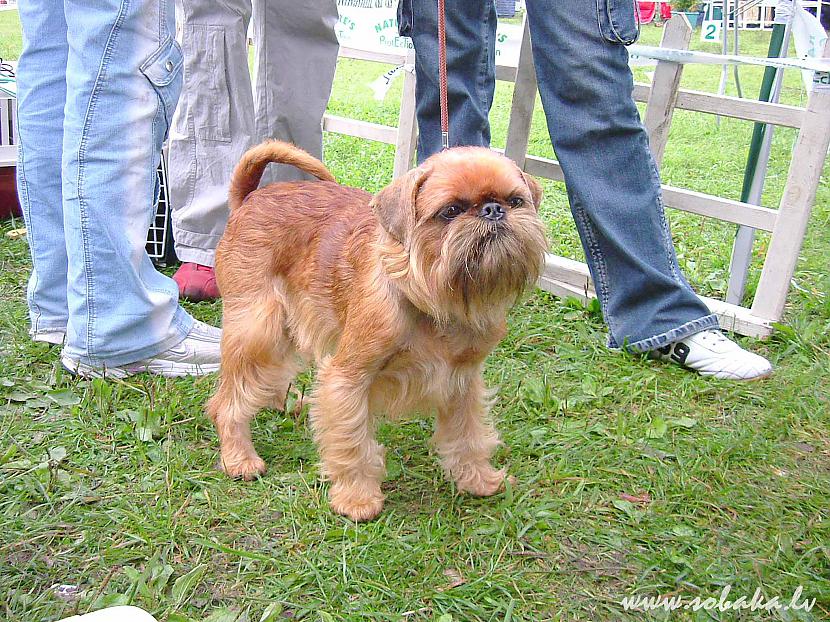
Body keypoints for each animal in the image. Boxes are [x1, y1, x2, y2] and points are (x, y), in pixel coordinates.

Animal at [206, 140, 548, 520]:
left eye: (515, 201)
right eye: (451, 211)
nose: (492, 210)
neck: (429, 296)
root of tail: (249, 198)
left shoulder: (463, 380)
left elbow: (469, 434)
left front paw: (479, 479)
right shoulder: (348, 378)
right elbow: (352, 439)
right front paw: (357, 498)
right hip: (258, 329)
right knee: (226, 401)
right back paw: (240, 457)